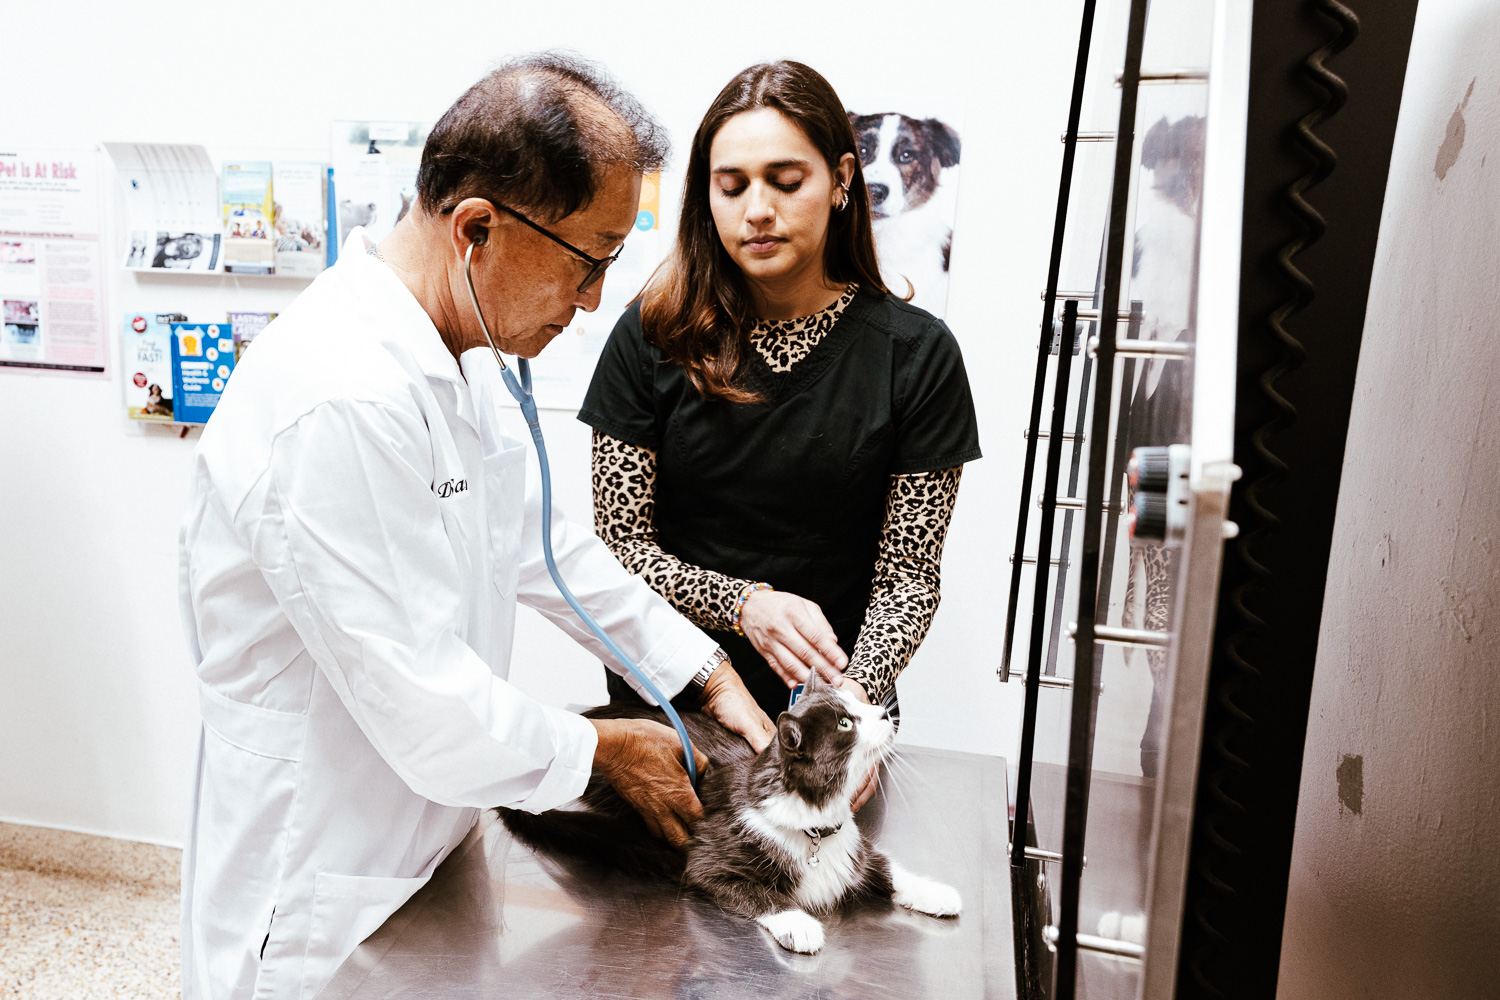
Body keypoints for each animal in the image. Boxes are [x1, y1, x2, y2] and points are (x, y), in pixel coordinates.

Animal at [498, 668, 954, 959]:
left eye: (858, 706)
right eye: (845, 723)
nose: (884, 713)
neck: (814, 830)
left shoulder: (851, 850)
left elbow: (888, 867)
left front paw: (937, 892)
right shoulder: (711, 858)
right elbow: (755, 892)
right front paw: (799, 924)